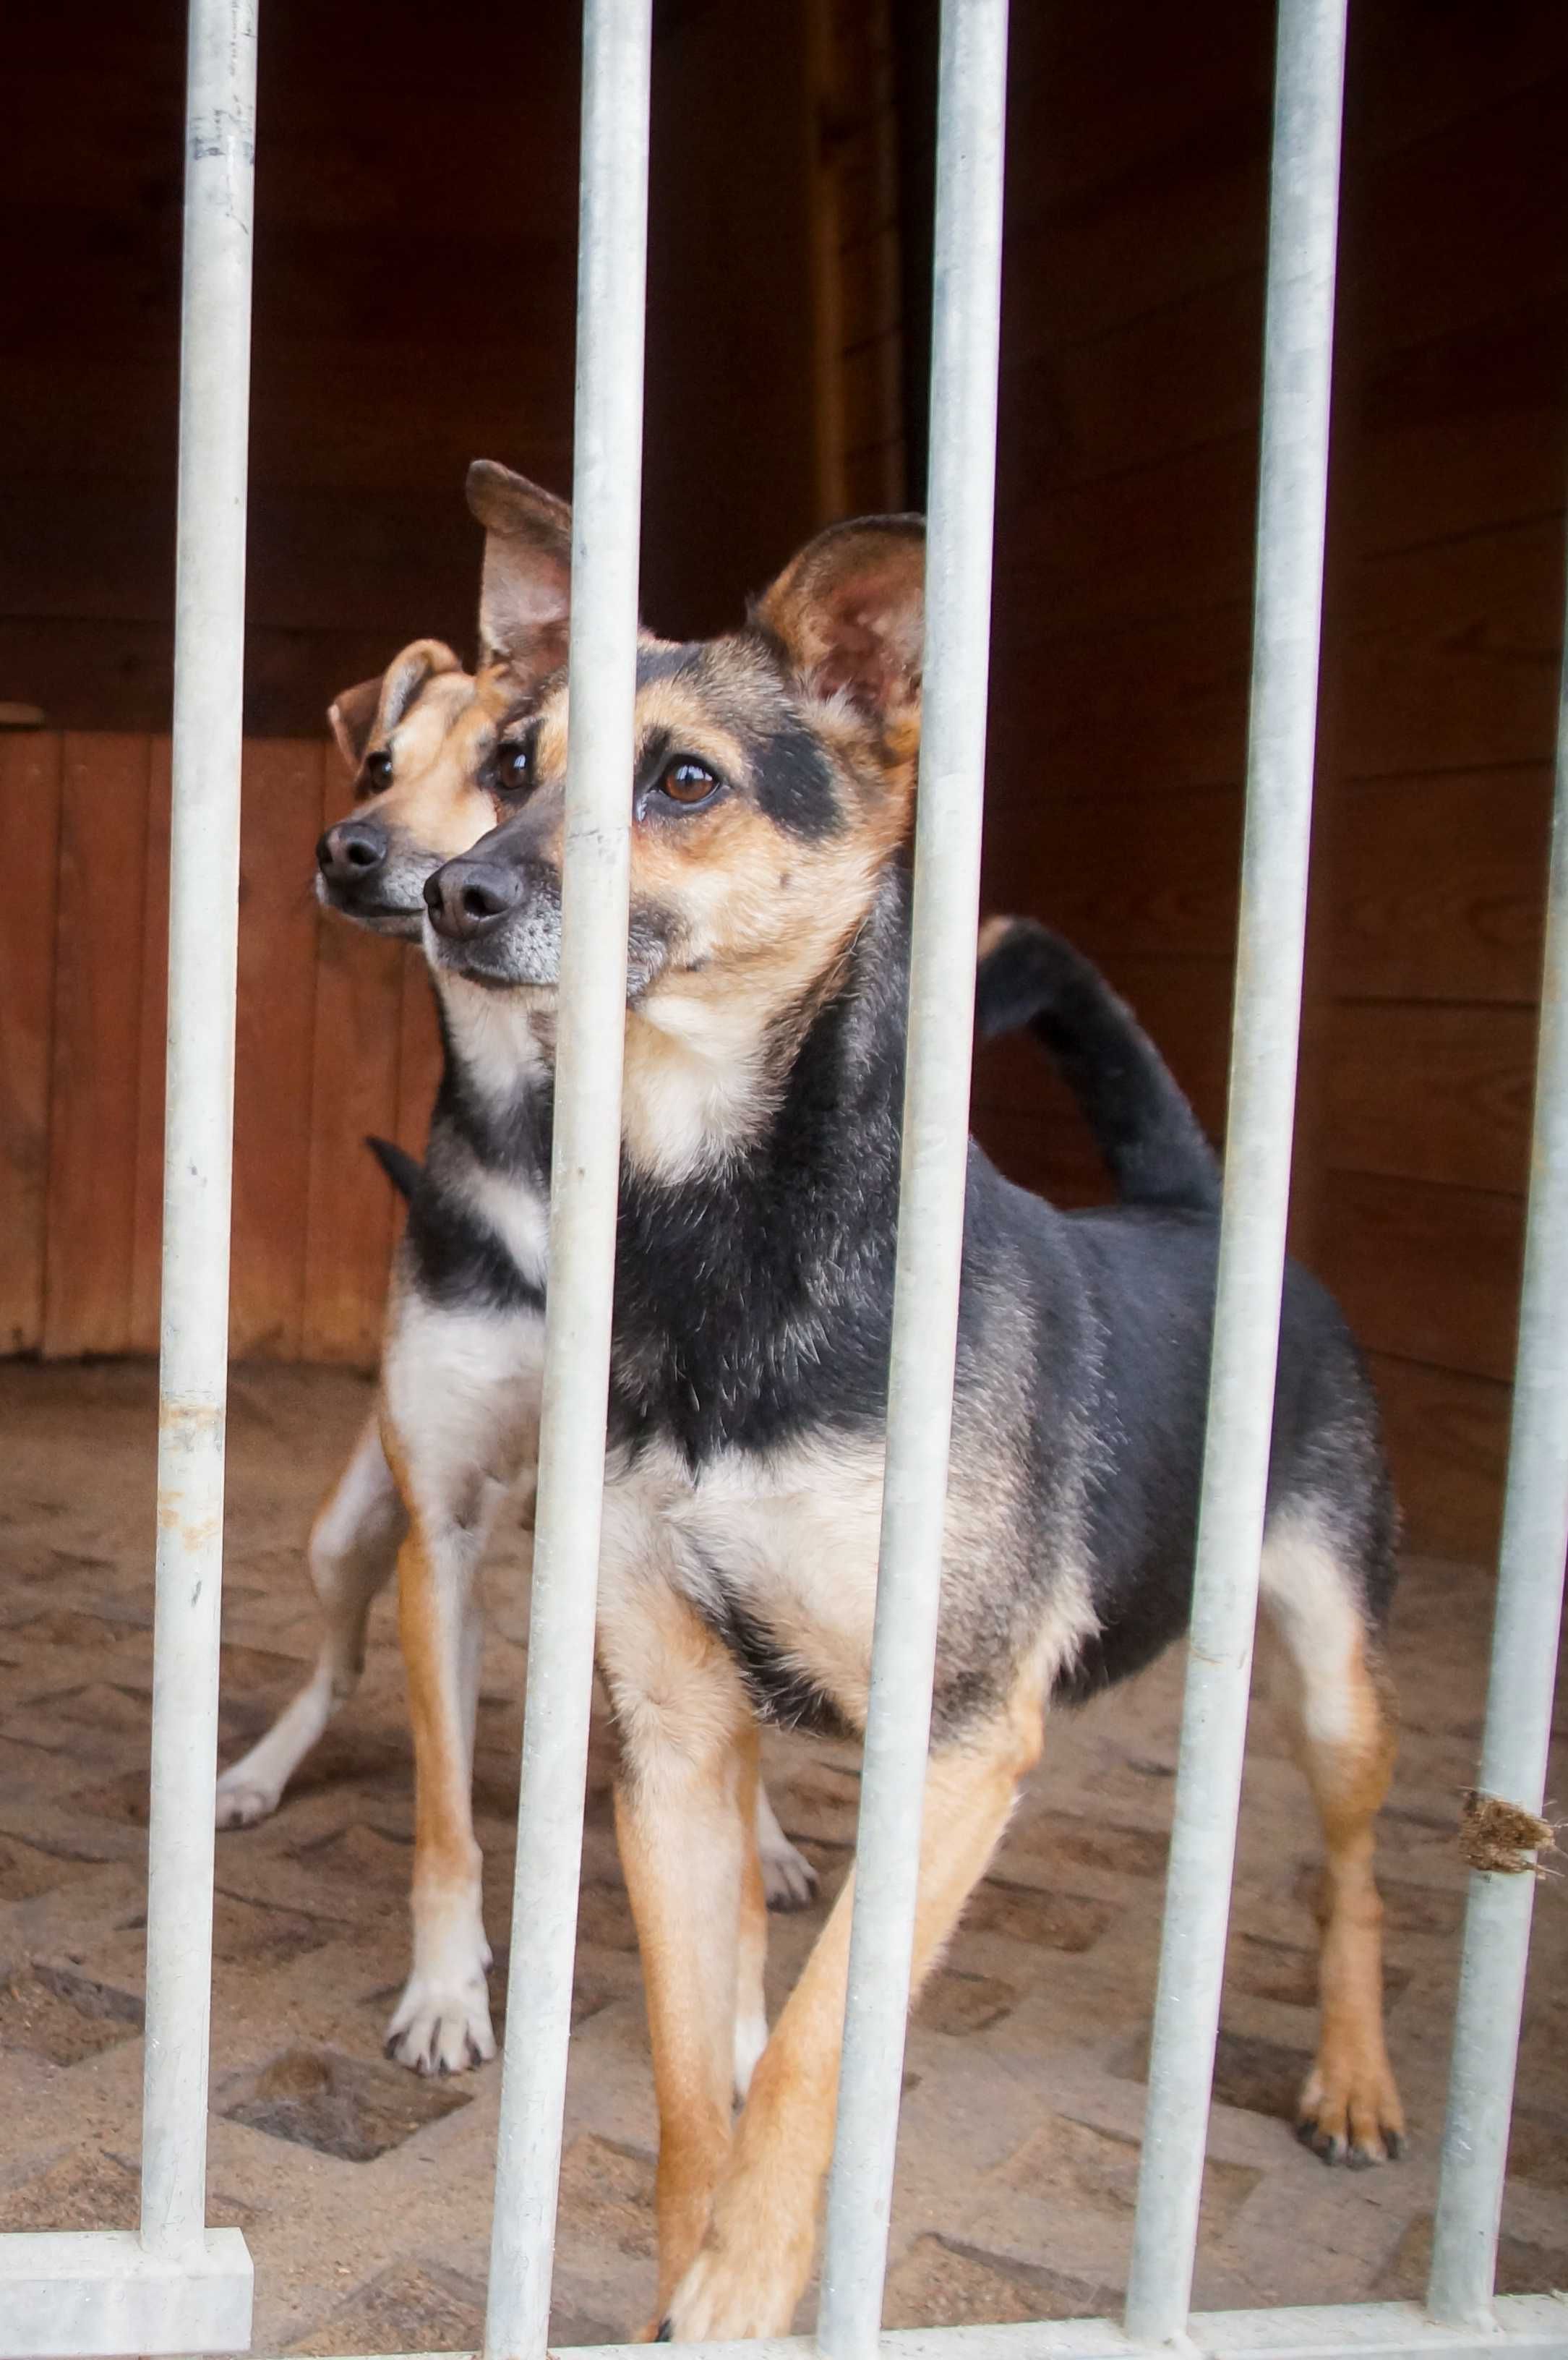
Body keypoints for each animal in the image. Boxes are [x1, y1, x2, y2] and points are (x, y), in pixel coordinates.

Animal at [393, 469, 1405, 2331]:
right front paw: (687, 2276)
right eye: (515, 761)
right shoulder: (672, 1733)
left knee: (1353, 1863)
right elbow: (688, 2073)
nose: (451, 895)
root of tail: (1192, 1212)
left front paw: (739, 2291)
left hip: (1332, 1670)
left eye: (683, 781)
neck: (727, 1245)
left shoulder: (957, 1745)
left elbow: (807, 2052)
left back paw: (1357, 2078)